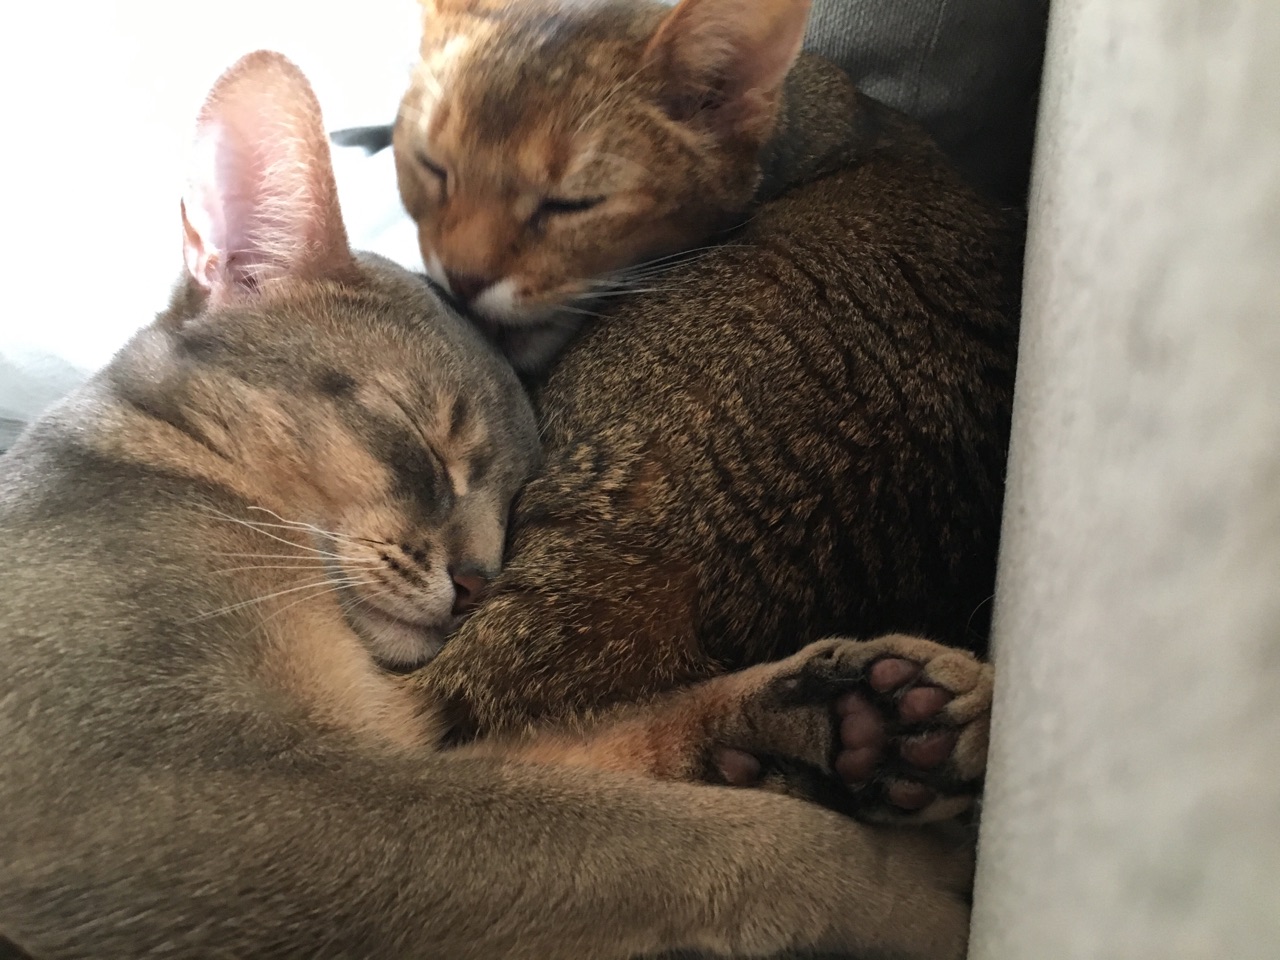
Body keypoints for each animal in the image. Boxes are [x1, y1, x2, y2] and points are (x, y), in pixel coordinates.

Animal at [0, 50, 992, 959]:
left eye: (524, 497)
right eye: (429, 438)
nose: (479, 582)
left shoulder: (385, 741)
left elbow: (599, 757)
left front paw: (862, 719)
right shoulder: (195, 792)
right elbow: (677, 839)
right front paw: (904, 893)